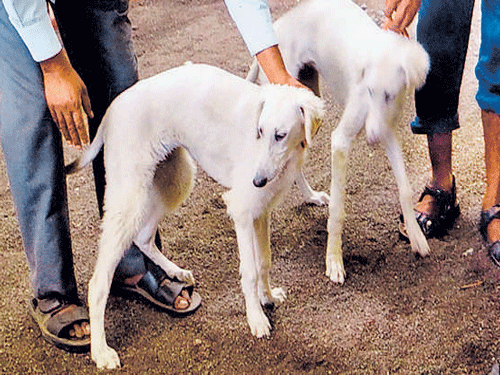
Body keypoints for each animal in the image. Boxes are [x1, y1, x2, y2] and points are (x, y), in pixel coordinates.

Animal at [66, 63, 324, 368]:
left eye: (280, 135)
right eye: (260, 131)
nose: (257, 180)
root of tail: (112, 110)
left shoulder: (260, 211)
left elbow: (264, 262)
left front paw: (268, 297)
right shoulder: (241, 211)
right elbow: (250, 271)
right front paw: (256, 318)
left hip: (174, 179)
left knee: (144, 238)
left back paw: (176, 272)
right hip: (131, 199)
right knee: (98, 284)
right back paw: (100, 351)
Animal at [248, 0, 432, 284]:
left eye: (389, 95)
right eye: (370, 91)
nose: (371, 138)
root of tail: (276, 27)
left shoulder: (388, 131)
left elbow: (404, 189)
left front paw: (416, 236)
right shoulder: (341, 141)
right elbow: (337, 209)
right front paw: (334, 260)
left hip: (308, 111)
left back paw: (311, 196)